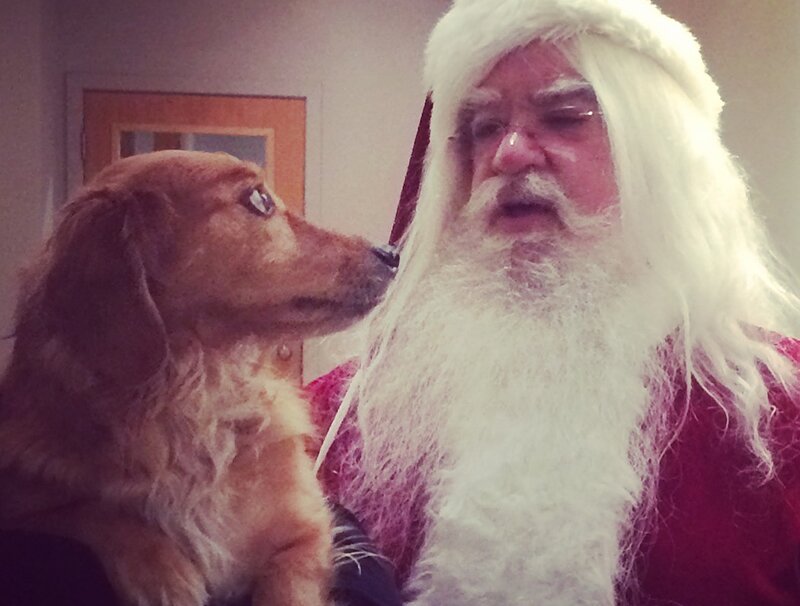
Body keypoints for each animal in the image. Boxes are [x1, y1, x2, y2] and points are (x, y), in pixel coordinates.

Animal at [0, 150, 396, 604]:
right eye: (259, 199)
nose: (391, 252)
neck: (198, 397)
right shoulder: (17, 497)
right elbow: (81, 508)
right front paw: (159, 567)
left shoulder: (308, 531)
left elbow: (287, 585)